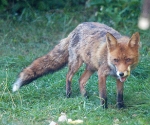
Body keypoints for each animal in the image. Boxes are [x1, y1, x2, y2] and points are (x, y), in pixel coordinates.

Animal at [12, 22, 140, 108]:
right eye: (115, 60)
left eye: (128, 59)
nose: (121, 73)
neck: (110, 63)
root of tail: (76, 28)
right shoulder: (101, 74)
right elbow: (103, 95)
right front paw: (104, 108)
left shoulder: (119, 79)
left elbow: (120, 95)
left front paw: (121, 107)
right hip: (76, 64)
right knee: (68, 76)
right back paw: (68, 94)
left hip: (91, 67)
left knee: (81, 80)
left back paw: (85, 96)